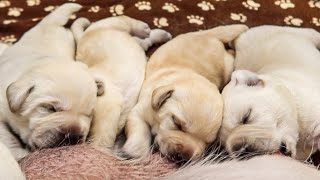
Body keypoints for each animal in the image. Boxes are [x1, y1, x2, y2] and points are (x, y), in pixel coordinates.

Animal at [0, 3, 98, 160]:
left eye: (88, 114)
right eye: (50, 108)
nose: (73, 136)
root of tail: (50, 24)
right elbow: (7, 137)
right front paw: (20, 152)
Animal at [71, 16, 172, 148]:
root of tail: (84, 35)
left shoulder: (108, 108)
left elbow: (102, 137)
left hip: (108, 25)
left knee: (124, 20)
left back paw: (145, 29)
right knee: (145, 41)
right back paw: (161, 35)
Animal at [122, 24, 248, 161]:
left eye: (208, 142)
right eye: (177, 123)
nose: (184, 156)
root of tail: (207, 34)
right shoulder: (140, 110)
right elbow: (139, 128)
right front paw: (135, 150)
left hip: (228, 66)